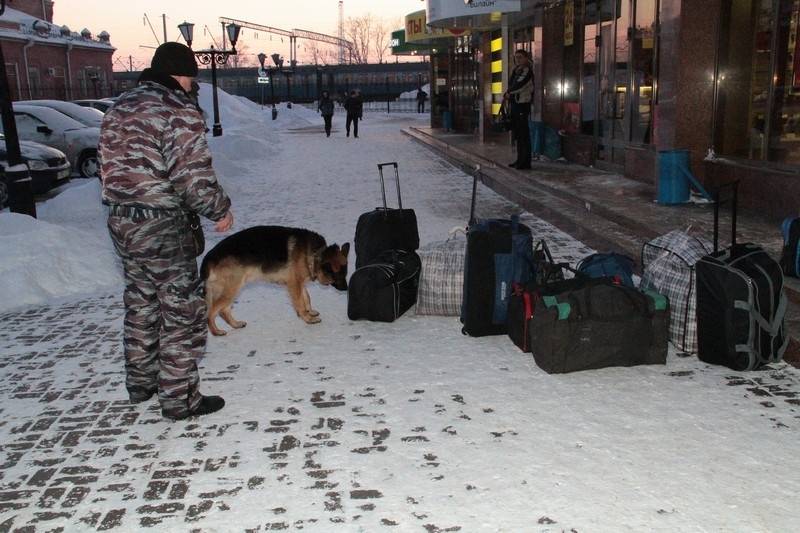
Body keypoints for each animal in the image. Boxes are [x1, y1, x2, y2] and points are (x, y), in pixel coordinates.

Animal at [200, 225, 350, 334]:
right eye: (339, 276)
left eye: (345, 274)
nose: (347, 289)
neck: (316, 254)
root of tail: (209, 257)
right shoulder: (294, 284)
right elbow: (300, 303)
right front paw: (308, 318)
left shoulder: (298, 282)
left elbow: (306, 297)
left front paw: (310, 311)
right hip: (232, 290)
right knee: (211, 312)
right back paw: (216, 331)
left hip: (232, 290)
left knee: (223, 310)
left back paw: (236, 324)